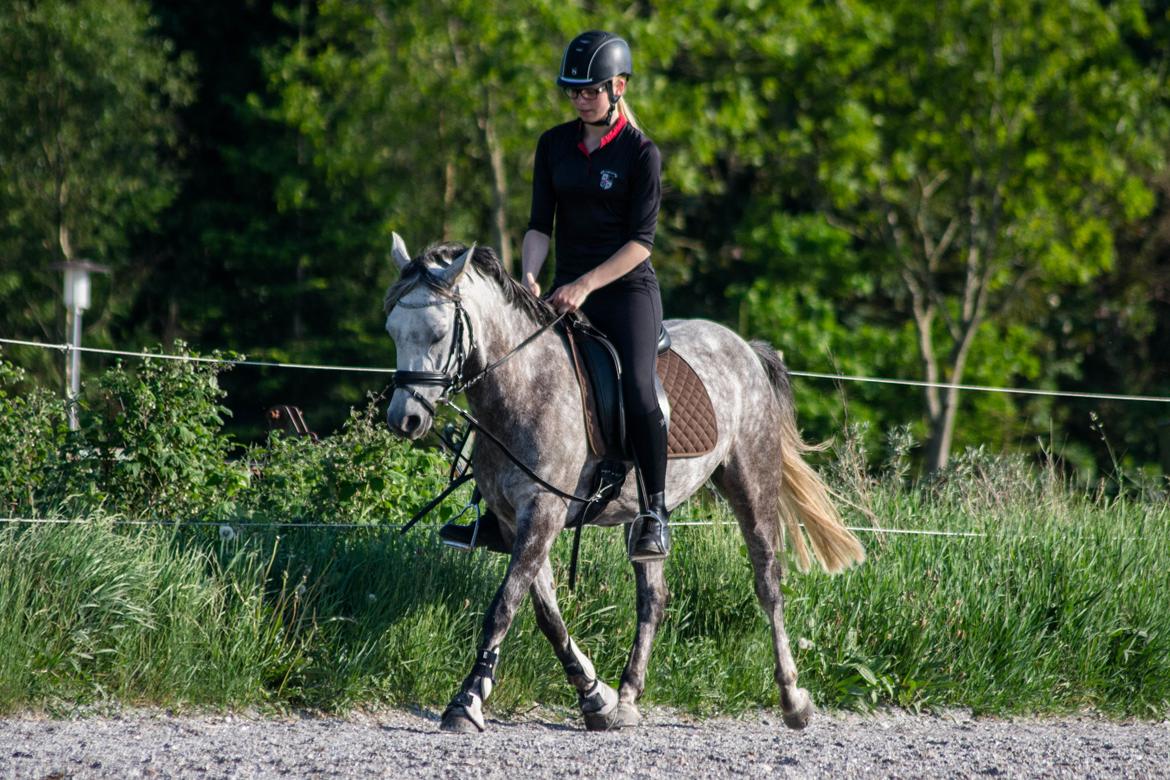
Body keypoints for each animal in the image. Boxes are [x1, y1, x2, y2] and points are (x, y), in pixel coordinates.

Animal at [383, 236, 861, 734]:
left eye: (438, 333)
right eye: (392, 331)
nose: (405, 419)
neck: (524, 386)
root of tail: (743, 346)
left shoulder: (543, 511)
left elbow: (504, 606)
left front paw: (467, 700)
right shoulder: (517, 521)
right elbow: (546, 613)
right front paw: (597, 697)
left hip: (751, 480)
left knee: (768, 583)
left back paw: (793, 700)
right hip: (646, 514)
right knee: (653, 598)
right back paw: (629, 696)